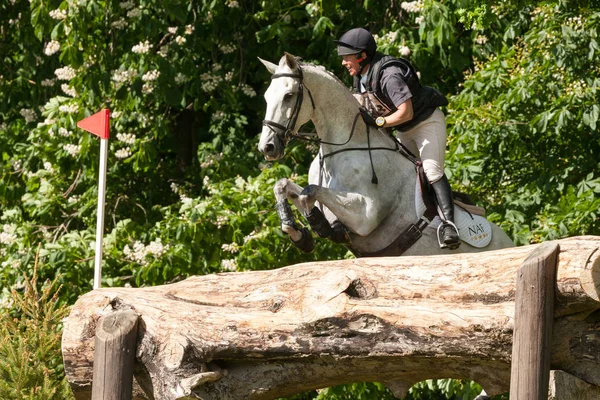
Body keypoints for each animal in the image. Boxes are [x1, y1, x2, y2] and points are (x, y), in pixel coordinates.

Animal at [255, 53, 512, 256]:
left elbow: (309, 192)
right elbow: (284, 186)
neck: (343, 146)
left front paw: (318, 227)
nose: (267, 148)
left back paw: (450, 234)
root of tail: (508, 241)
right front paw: (297, 233)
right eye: (266, 97)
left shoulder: (365, 216)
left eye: (288, 96)